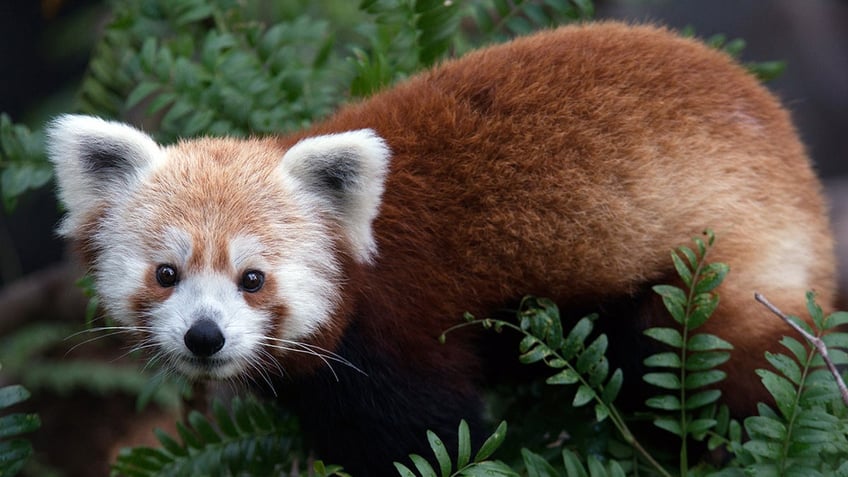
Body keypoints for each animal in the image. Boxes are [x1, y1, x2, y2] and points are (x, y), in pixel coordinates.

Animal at [48, 22, 836, 476]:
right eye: (167, 273)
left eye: (252, 278)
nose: (205, 337)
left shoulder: (399, 330)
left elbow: (436, 433)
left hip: (718, 266)